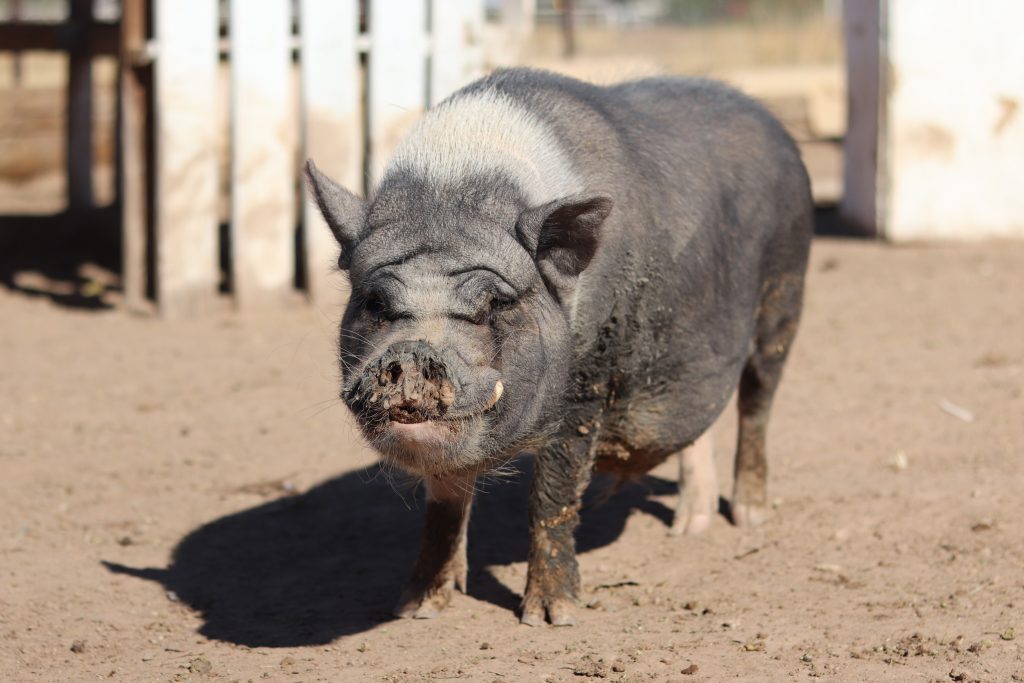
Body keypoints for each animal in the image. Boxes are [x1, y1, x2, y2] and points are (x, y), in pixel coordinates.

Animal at [305, 67, 812, 626]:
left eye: (494, 302)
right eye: (375, 301)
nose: (413, 353)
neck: (454, 188)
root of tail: (771, 121)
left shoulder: (587, 383)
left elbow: (553, 494)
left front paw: (552, 617)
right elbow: (444, 502)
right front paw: (417, 607)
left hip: (785, 291)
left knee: (757, 400)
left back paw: (748, 517)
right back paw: (688, 527)